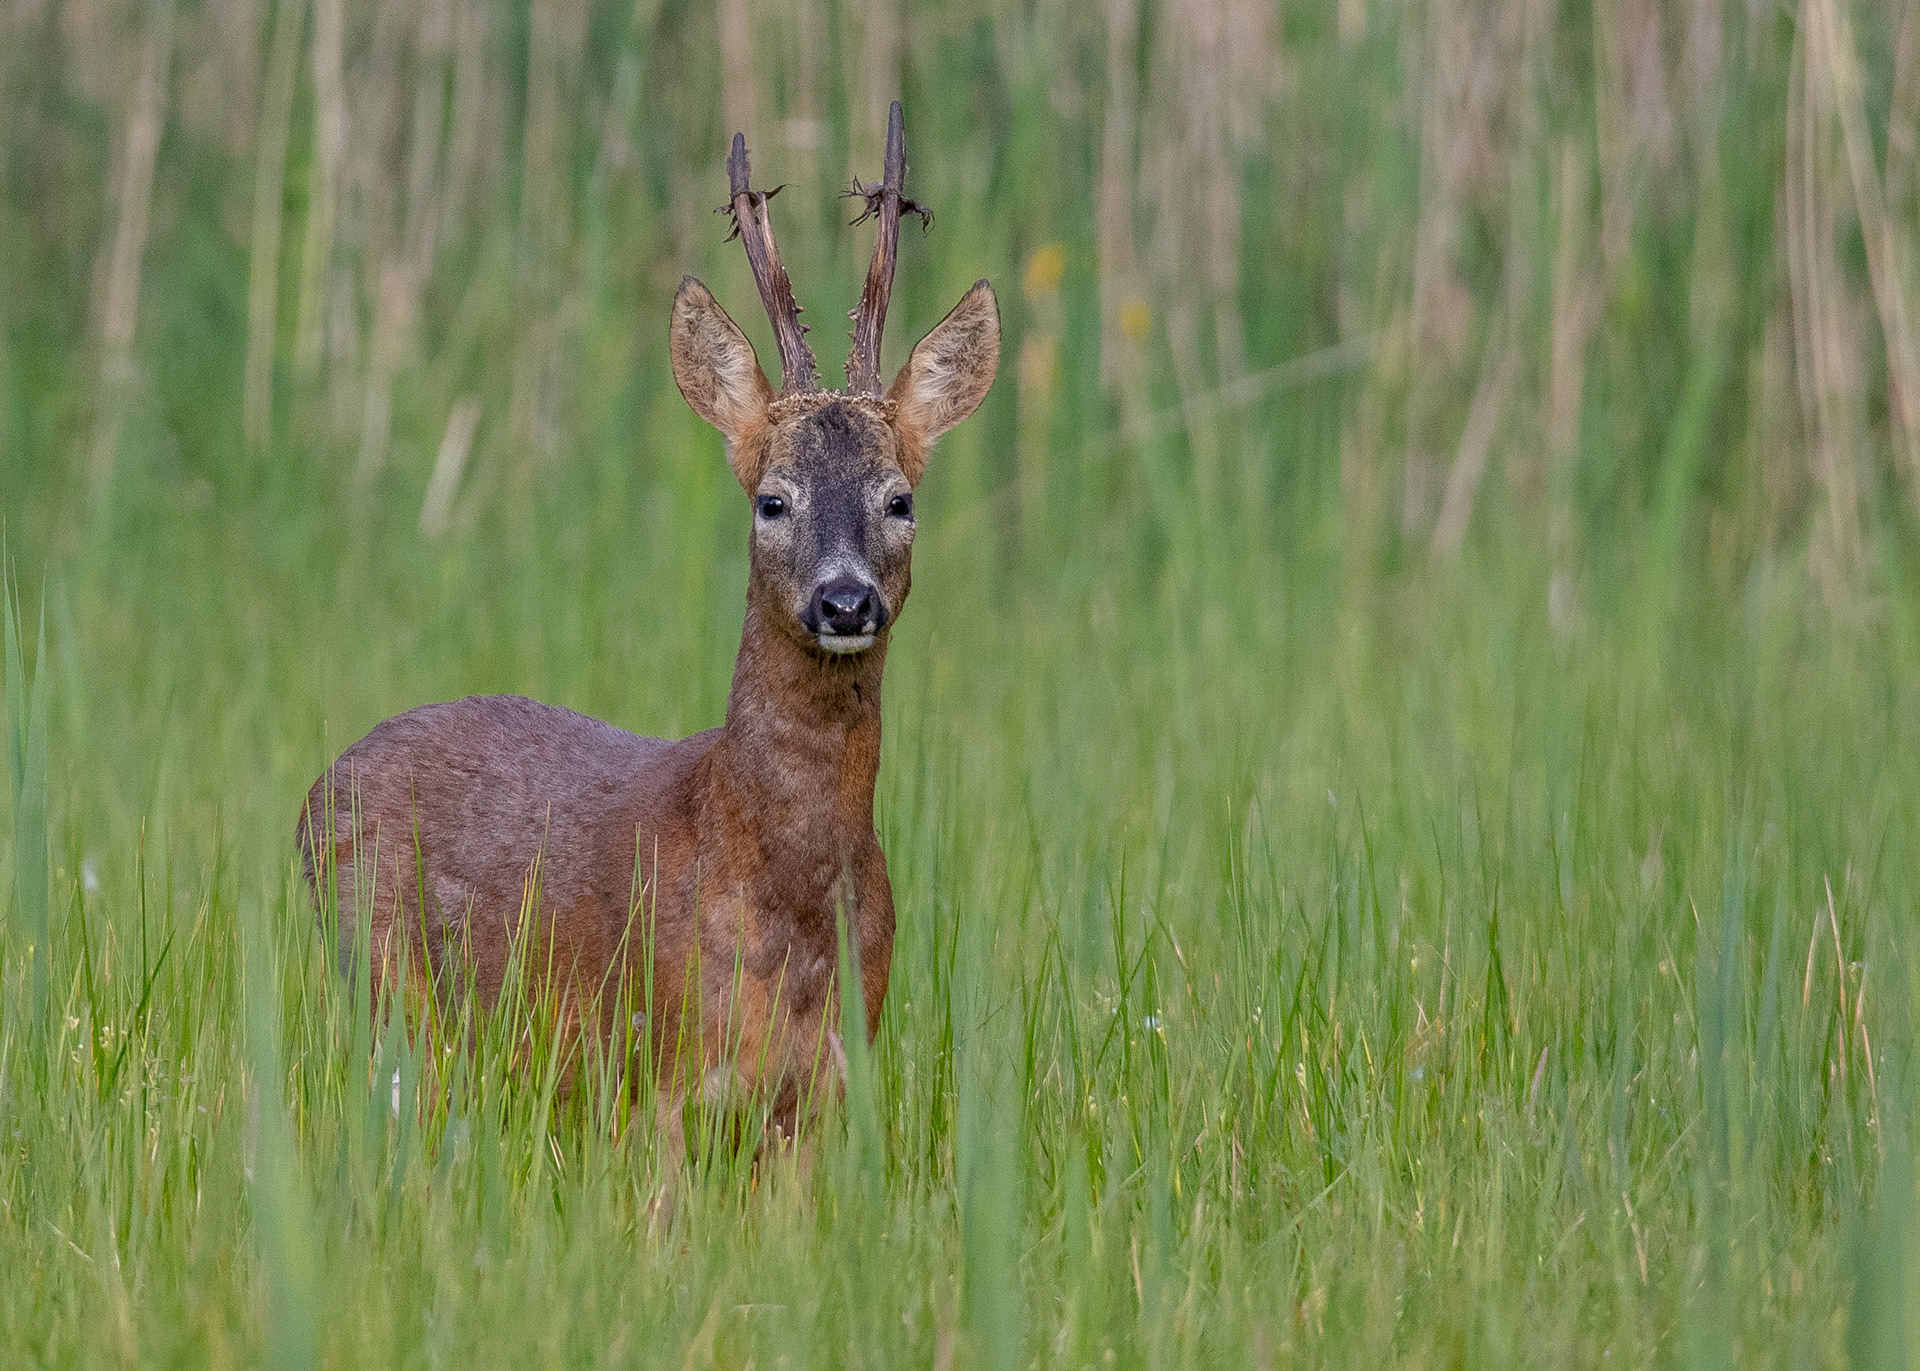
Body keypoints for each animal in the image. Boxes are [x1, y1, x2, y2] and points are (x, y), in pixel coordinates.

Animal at [297, 103, 998, 1163]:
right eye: (771, 499)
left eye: (900, 498)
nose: (845, 603)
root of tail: (315, 792)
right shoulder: (656, 1074)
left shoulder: (829, 1089)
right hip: (387, 997)